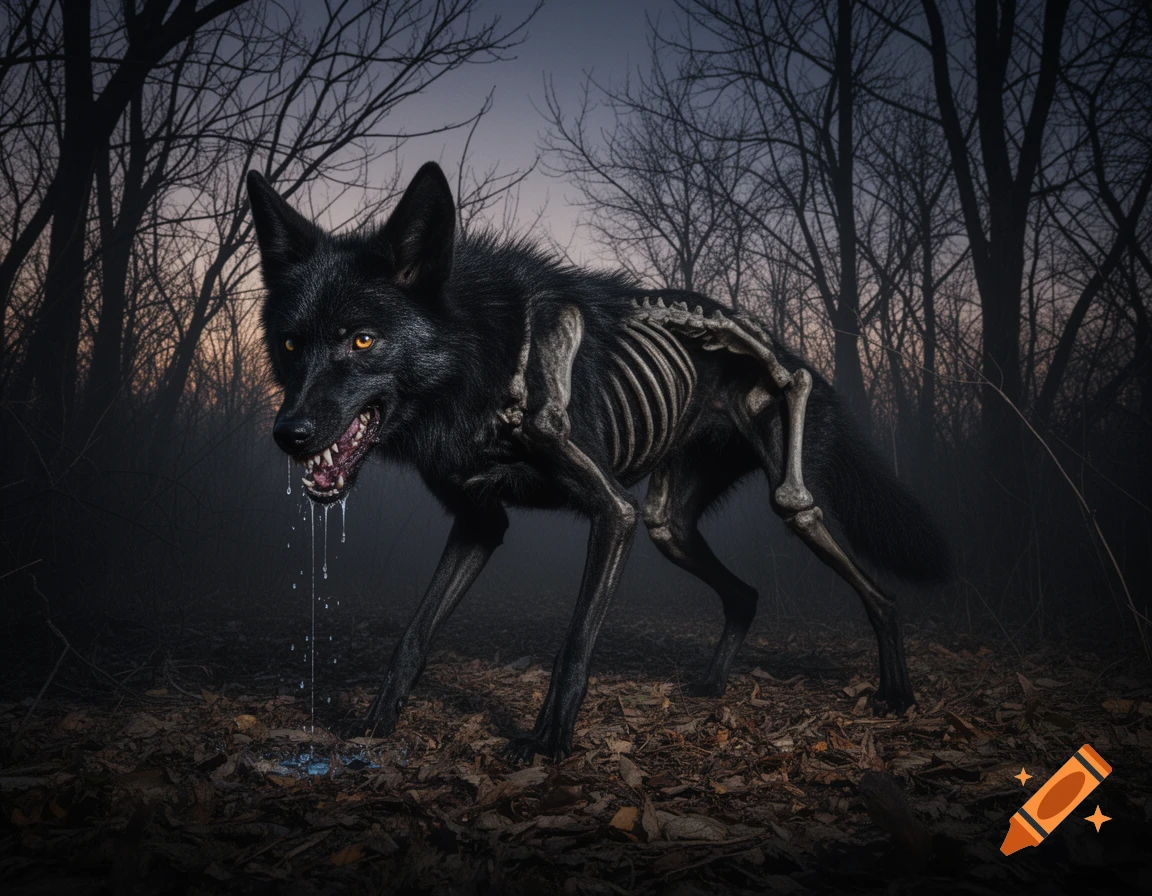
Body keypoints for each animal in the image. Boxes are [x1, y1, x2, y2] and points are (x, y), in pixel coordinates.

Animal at [246, 162, 950, 761]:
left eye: (363, 340)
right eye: (290, 344)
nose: (289, 435)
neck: (477, 359)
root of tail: (795, 349)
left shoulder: (613, 513)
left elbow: (574, 644)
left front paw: (548, 742)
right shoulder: (481, 523)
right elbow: (414, 634)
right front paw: (376, 723)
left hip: (777, 490)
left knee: (865, 576)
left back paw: (896, 692)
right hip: (670, 525)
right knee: (745, 593)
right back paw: (712, 687)